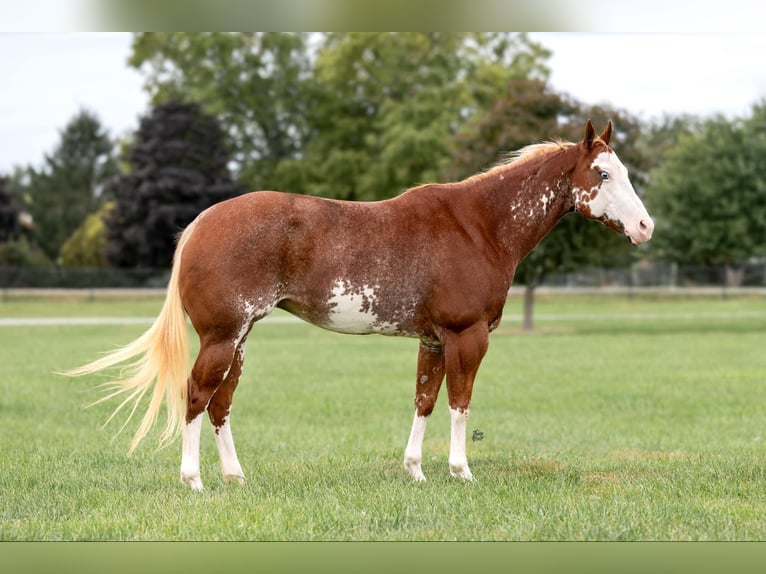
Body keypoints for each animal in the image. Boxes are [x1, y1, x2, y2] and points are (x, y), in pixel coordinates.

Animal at [66, 120, 653, 491]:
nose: (646, 226)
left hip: (238, 340)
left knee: (219, 403)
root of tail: (199, 224)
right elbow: (460, 402)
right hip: (221, 338)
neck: (479, 224)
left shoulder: (433, 340)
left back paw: (234, 477)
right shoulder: (467, 336)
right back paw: (194, 481)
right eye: (603, 174)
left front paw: (415, 470)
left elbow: (424, 401)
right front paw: (461, 472)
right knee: (195, 395)